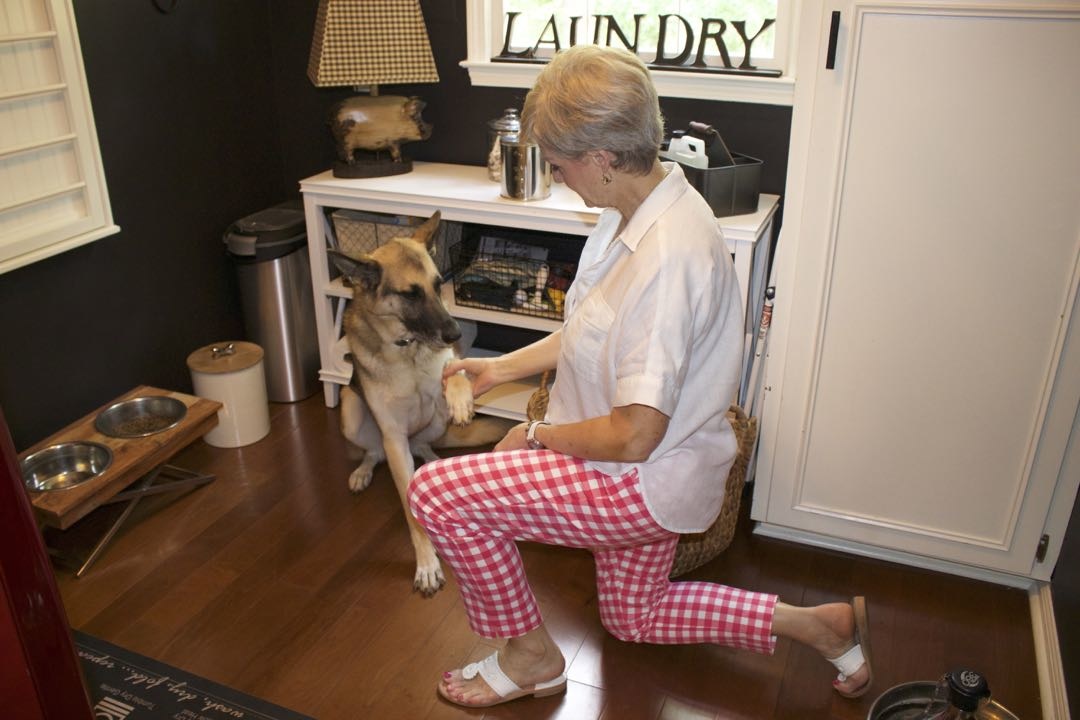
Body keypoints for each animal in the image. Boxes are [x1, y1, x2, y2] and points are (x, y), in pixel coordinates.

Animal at [328, 211, 509, 595]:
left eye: (439, 285)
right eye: (409, 294)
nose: (455, 333)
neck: (407, 348)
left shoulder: (448, 368)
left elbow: (455, 371)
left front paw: (460, 395)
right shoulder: (394, 437)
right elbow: (412, 515)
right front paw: (427, 563)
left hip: (435, 422)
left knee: (425, 443)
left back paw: (433, 459)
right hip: (353, 414)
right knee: (375, 451)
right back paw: (365, 470)